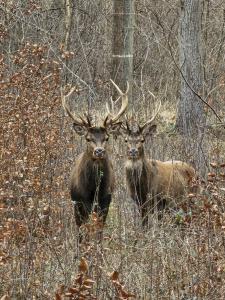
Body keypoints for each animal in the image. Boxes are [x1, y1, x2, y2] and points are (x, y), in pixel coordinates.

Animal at [61, 81, 128, 229]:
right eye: (88, 138)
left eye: (107, 138)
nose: (99, 151)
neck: (92, 191)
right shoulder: (80, 201)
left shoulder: (106, 201)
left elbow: (99, 229)